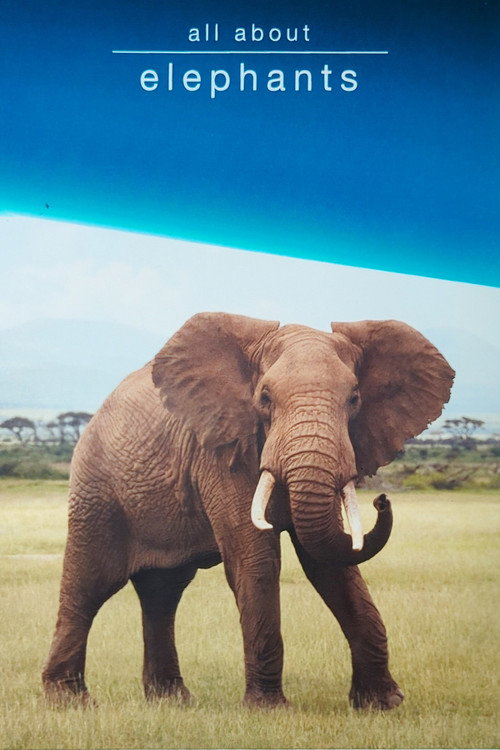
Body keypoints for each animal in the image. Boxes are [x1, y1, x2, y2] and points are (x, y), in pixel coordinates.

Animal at [43, 312, 454, 709]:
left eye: (354, 398)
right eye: (265, 398)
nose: (381, 500)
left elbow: (330, 562)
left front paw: (382, 704)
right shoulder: (221, 452)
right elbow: (257, 559)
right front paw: (269, 708)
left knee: (163, 593)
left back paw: (171, 701)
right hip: (97, 490)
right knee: (90, 585)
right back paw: (69, 701)